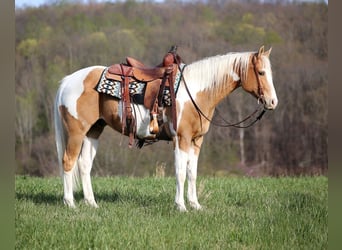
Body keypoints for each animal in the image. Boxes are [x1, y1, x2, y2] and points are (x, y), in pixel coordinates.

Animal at [54, 45, 278, 211]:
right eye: (261, 72)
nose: (273, 102)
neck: (196, 91)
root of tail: (68, 81)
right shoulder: (182, 139)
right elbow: (180, 172)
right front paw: (181, 206)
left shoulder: (196, 141)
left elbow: (192, 172)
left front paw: (195, 205)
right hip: (76, 132)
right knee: (68, 162)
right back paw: (70, 204)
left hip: (93, 131)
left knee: (84, 165)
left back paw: (92, 203)